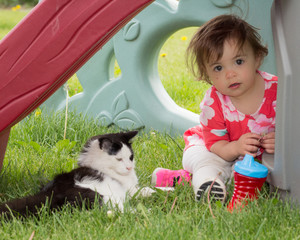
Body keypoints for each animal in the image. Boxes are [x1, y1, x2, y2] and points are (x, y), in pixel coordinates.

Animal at [0, 130, 154, 217]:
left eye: (131, 157)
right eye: (119, 159)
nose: (129, 167)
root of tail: (50, 194)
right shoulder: (130, 190)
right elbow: (146, 190)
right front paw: (156, 192)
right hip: (104, 197)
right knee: (119, 211)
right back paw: (146, 213)